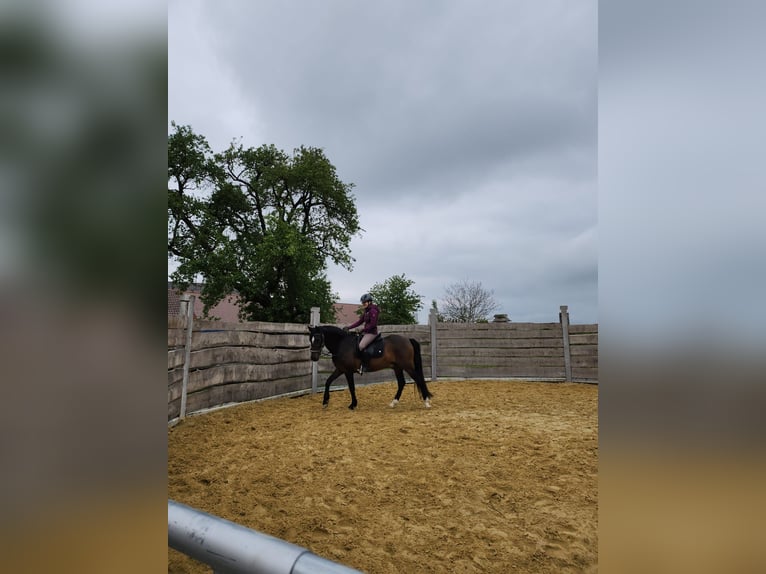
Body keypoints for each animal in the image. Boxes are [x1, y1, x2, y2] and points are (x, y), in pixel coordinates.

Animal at [308, 326, 436, 412]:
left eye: (318, 339)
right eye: (310, 339)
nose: (313, 358)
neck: (342, 344)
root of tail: (408, 340)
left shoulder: (348, 371)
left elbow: (351, 388)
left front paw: (353, 405)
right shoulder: (340, 369)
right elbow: (328, 382)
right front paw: (325, 402)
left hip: (407, 366)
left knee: (418, 379)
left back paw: (426, 402)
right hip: (397, 367)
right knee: (401, 383)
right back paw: (393, 403)